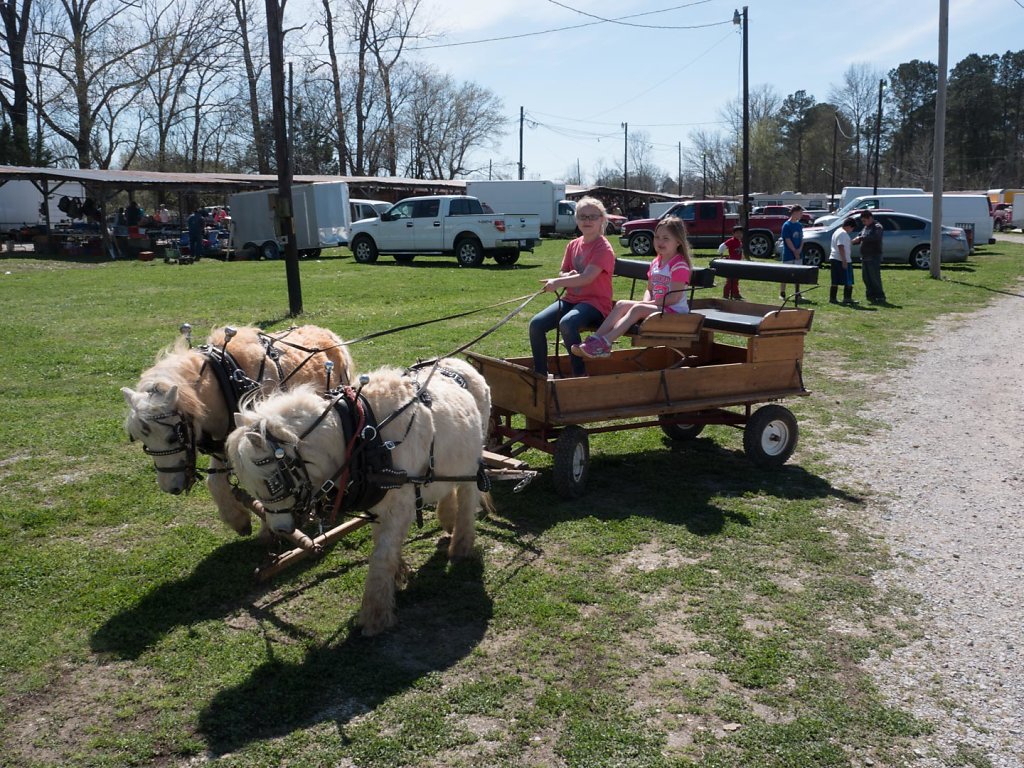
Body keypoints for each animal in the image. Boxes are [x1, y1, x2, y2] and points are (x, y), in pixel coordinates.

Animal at [122, 327, 354, 536]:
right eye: (142, 441)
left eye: (172, 437)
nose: (169, 488)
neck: (223, 379)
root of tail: (327, 333)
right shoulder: (223, 440)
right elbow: (215, 482)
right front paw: (237, 520)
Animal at [228, 358, 491, 634]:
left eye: (273, 482)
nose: (279, 529)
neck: (361, 438)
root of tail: (460, 363)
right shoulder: (378, 503)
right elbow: (382, 544)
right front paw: (398, 573)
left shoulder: (399, 506)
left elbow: (382, 555)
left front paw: (375, 615)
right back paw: (448, 520)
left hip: (473, 462)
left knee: (468, 498)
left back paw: (461, 545)